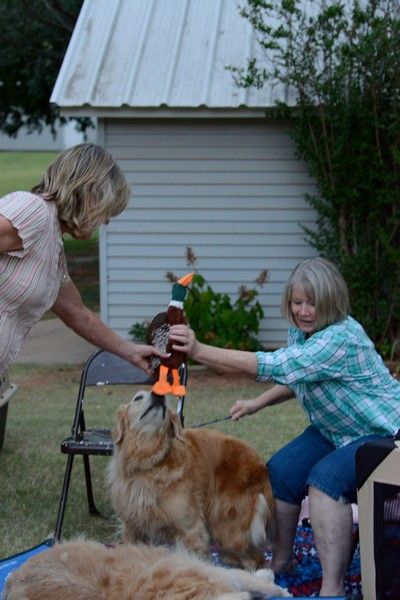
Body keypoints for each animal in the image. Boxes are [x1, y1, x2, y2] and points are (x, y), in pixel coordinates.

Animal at [107, 390, 277, 569]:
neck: (150, 461)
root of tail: (261, 465)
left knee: (256, 561)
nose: (159, 395)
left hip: (229, 530)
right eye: (138, 398)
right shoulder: (132, 527)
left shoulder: (190, 529)